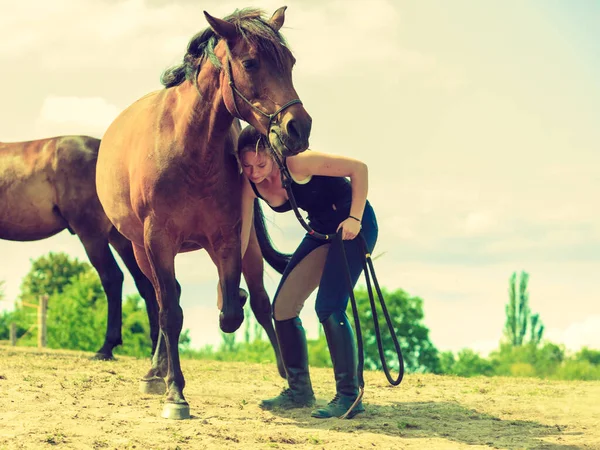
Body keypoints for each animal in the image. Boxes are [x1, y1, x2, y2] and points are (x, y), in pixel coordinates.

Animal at [96, 7, 312, 420]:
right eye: (250, 63)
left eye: (292, 62)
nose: (299, 128)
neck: (190, 151)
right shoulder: (158, 240)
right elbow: (171, 311)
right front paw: (175, 393)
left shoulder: (227, 237)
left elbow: (231, 312)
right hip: (140, 250)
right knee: (163, 300)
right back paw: (156, 372)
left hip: (248, 248)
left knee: (260, 302)